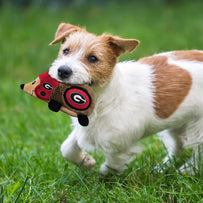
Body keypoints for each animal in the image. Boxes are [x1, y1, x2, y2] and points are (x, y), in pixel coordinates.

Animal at [48, 23, 203, 175]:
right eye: (66, 51)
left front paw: (104, 176)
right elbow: (67, 148)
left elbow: (111, 166)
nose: (63, 70)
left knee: (198, 151)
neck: (101, 99)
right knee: (179, 144)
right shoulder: (85, 129)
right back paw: (163, 168)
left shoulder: (119, 145)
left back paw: (188, 170)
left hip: (199, 126)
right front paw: (87, 162)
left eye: (93, 58)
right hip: (176, 121)